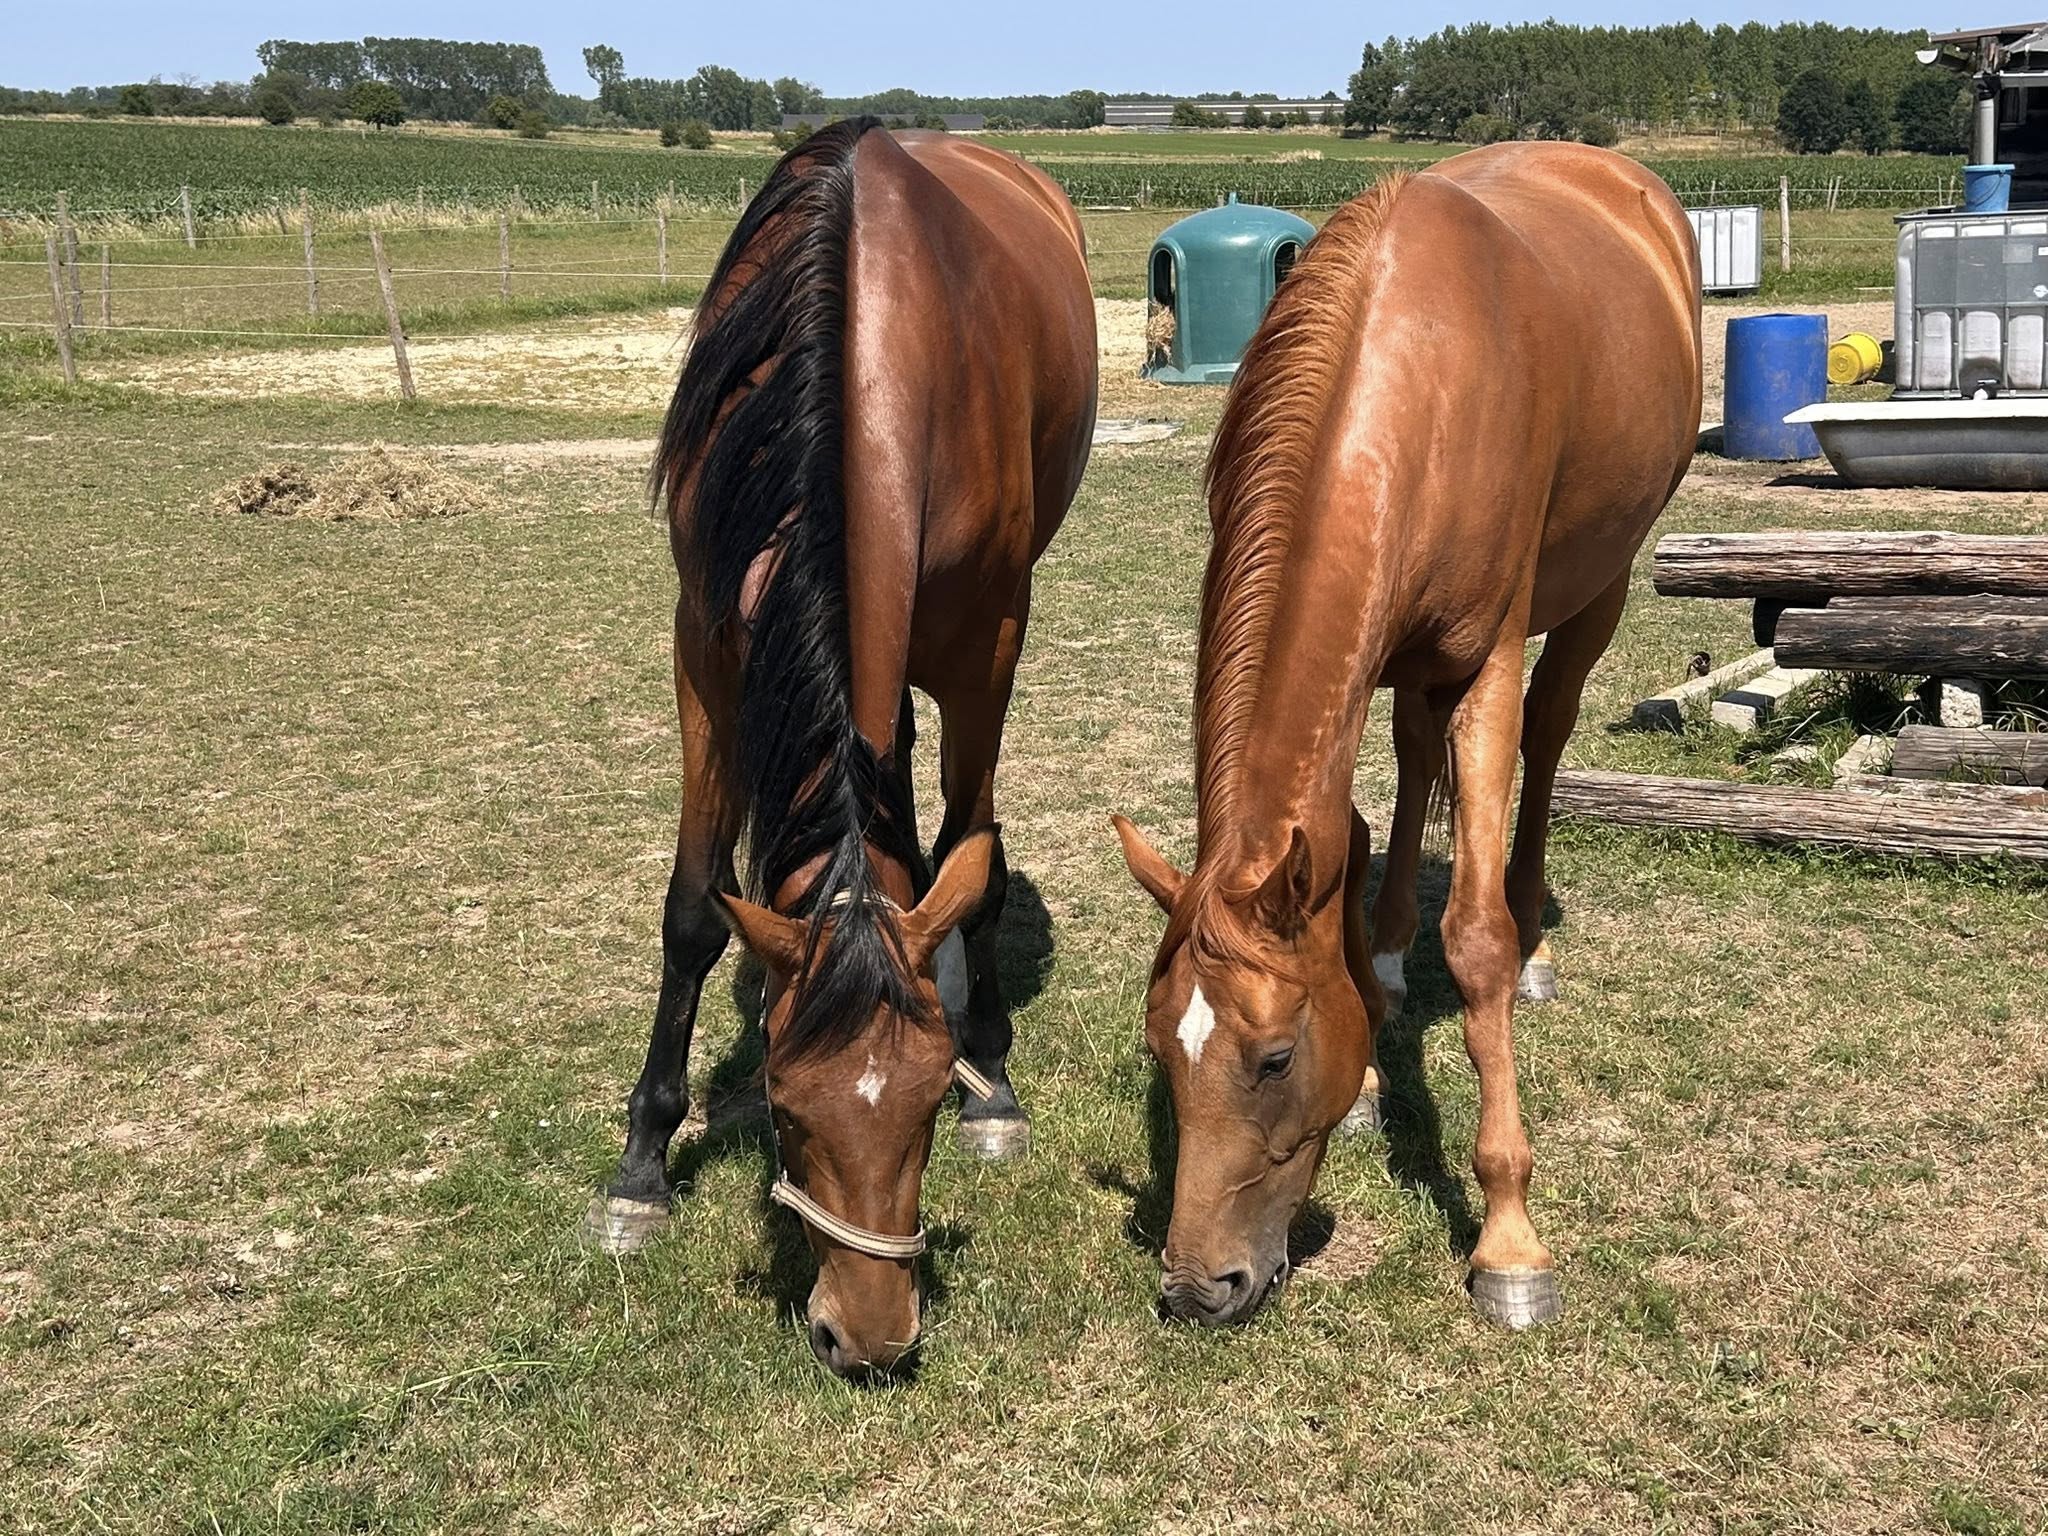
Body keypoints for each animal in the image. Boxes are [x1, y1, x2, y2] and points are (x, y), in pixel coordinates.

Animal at [583, 118, 1097, 1379]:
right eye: (784, 1103)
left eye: (920, 1113)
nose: (866, 1339)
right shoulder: (706, 647)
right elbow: (692, 907)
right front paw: (641, 1166)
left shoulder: (987, 643)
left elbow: (974, 856)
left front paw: (990, 1081)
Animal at [1113, 142, 1701, 1329]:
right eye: (1160, 1047)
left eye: (1273, 1059)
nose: (1198, 1288)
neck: (1419, 376)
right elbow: (1351, 844)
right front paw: (1374, 1037)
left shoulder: (1485, 662)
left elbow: (1470, 941)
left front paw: (1509, 1238)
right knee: (1417, 760)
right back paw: (1386, 957)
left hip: (1596, 588)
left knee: (1548, 737)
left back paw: (1531, 941)